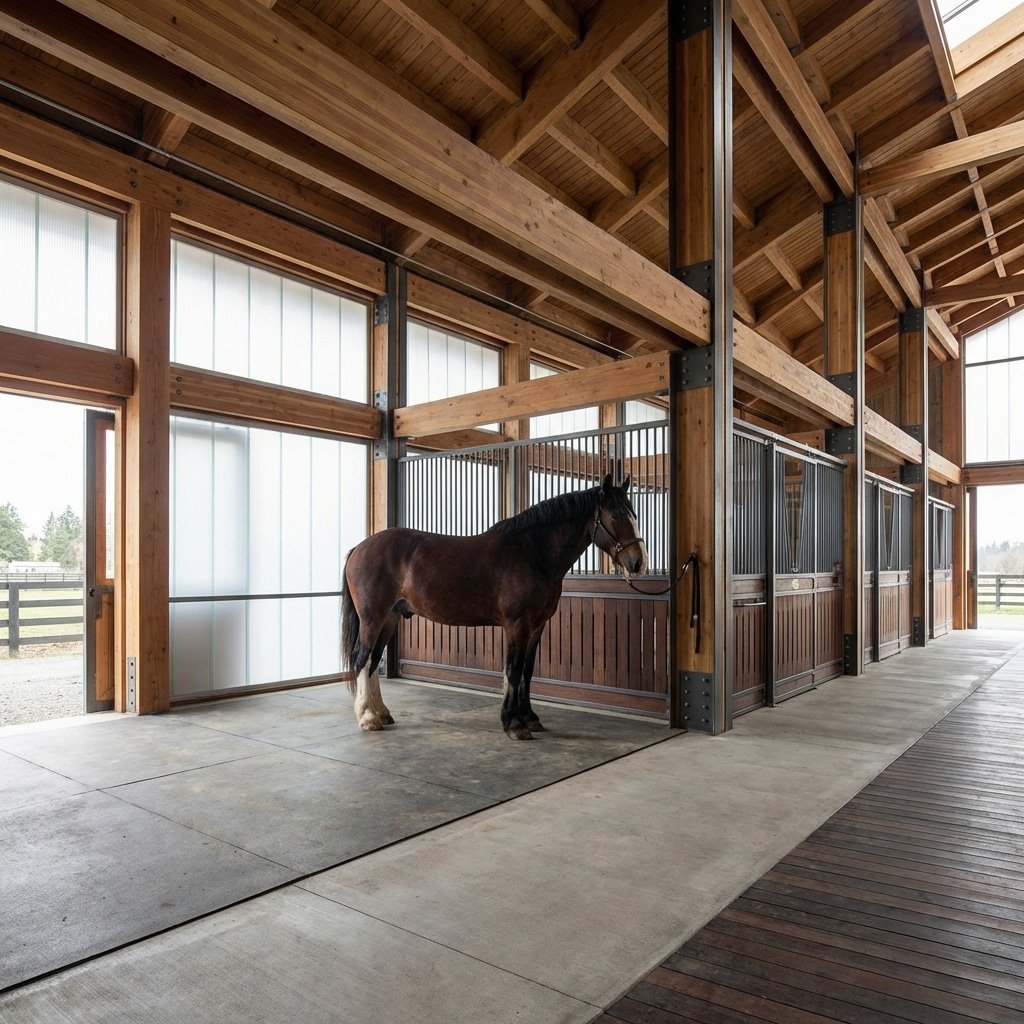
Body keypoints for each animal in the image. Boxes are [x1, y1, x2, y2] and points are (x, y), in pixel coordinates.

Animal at [341, 474, 648, 739]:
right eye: (616, 514)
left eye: (634, 512)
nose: (638, 563)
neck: (532, 553)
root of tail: (359, 548)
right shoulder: (517, 625)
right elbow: (513, 670)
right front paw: (514, 724)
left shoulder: (537, 626)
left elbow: (527, 671)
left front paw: (530, 718)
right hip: (373, 619)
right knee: (361, 659)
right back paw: (367, 718)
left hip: (389, 619)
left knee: (372, 661)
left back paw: (381, 713)